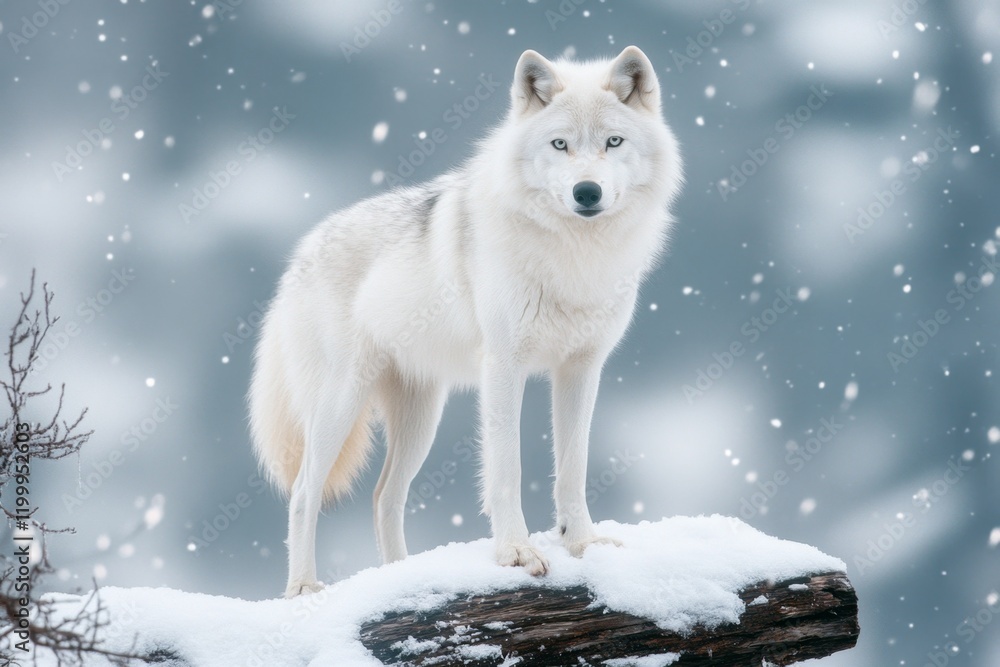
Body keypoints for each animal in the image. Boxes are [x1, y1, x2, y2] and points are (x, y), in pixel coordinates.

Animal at [249, 45, 683, 597]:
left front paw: (583, 544)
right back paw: (304, 588)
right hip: (340, 404)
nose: (587, 192)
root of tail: (300, 255)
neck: (574, 256)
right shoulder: (503, 366)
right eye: (560, 144)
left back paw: (400, 576)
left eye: (613, 141)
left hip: (421, 420)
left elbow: (573, 468)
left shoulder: (582, 369)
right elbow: (507, 468)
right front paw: (516, 553)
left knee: (384, 496)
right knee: (305, 491)